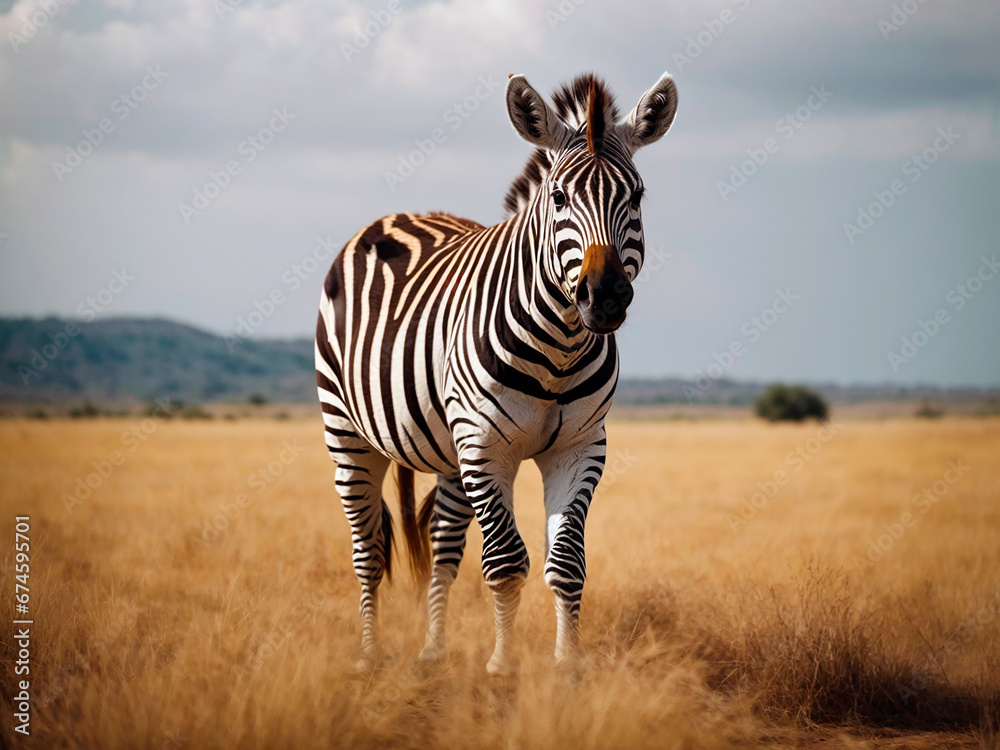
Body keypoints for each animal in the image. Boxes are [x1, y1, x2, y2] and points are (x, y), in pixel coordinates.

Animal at [315, 71, 677, 674]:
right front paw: (503, 668)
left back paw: (433, 652)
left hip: (448, 451)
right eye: (558, 197)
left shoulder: (580, 447)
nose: (604, 297)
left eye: (637, 196)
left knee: (443, 545)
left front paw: (567, 667)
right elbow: (506, 562)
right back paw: (368, 656)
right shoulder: (485, 446)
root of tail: (395, 216)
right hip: (348, 433)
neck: (558, 349)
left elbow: (566, 563)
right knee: (369, 549)